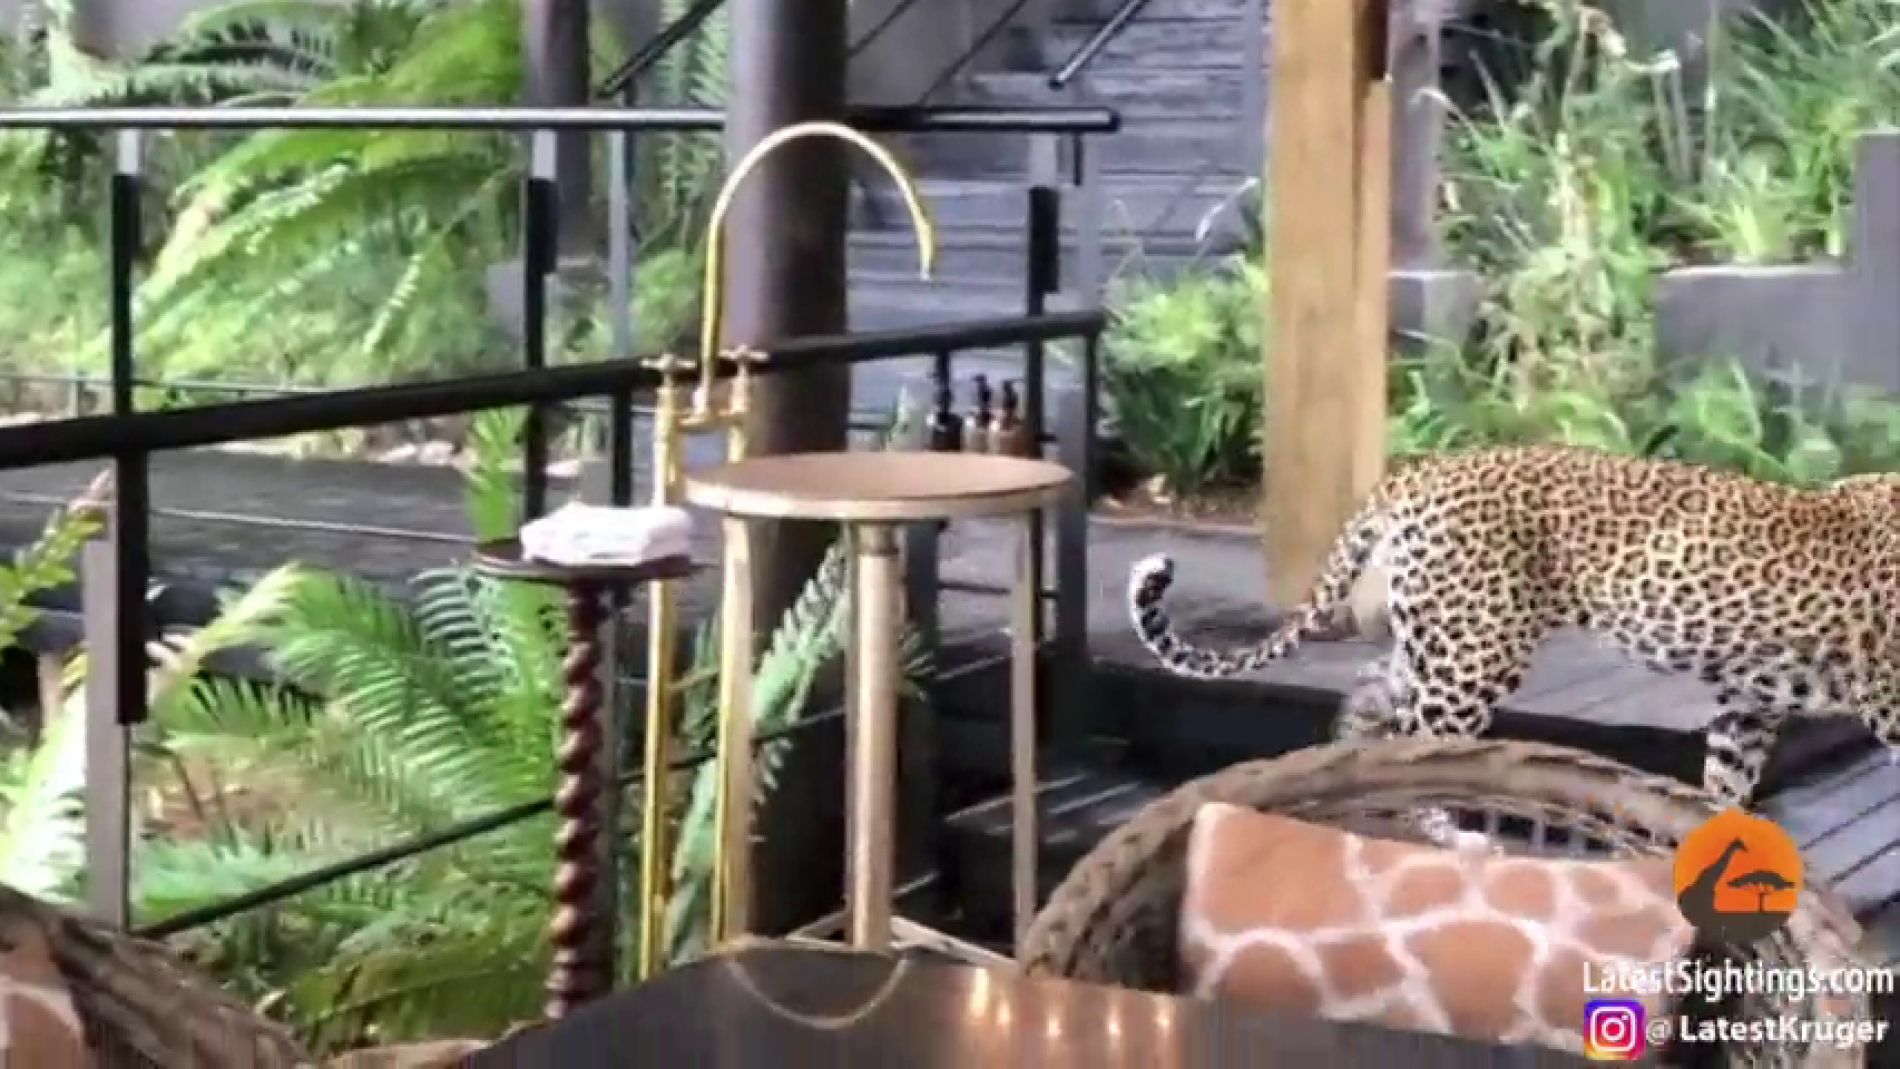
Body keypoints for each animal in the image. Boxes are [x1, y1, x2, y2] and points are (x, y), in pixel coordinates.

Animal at [1127, 444, 1900, 814]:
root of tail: (1417, 473)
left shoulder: (1748, 707)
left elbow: (1725, 789)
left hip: (1436, 646)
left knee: (1372, 700)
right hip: (1472, 662)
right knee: (1417, 752)